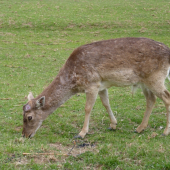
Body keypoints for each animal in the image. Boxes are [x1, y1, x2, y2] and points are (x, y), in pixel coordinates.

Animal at [21, 37, 170, 138]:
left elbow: (88, 108)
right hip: (145, 82)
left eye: (29, 117)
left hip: (155, 78)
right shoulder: (101, 85)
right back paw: (140, 128)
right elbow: (106, 103)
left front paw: (81, 133)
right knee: (151, 100)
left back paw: (165, 131)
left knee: (166, 98)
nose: (25, 135)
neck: (73, 78)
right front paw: (113, 125)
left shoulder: (92, 84)